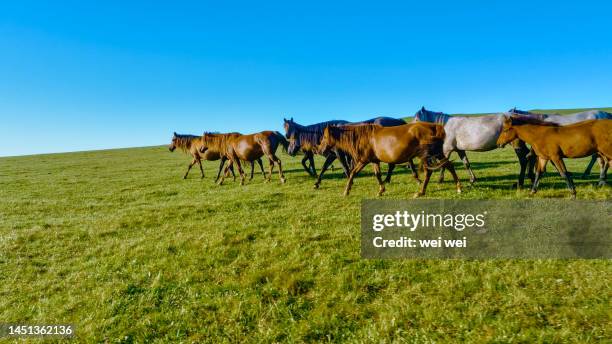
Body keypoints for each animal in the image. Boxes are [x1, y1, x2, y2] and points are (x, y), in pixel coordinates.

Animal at [318, 122, 462, 198]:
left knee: (430, 171)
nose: (319, 150)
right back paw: (456, 187)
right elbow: (378, 175)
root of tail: (434, 126)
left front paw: (346, 191)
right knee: (448, 166)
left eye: (324, 137)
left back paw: (422, 191)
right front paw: (381, 190)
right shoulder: (374, 161)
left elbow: (353, 173)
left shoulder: (364, 160)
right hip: (436, 153)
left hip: (427, 155)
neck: (364, 137)